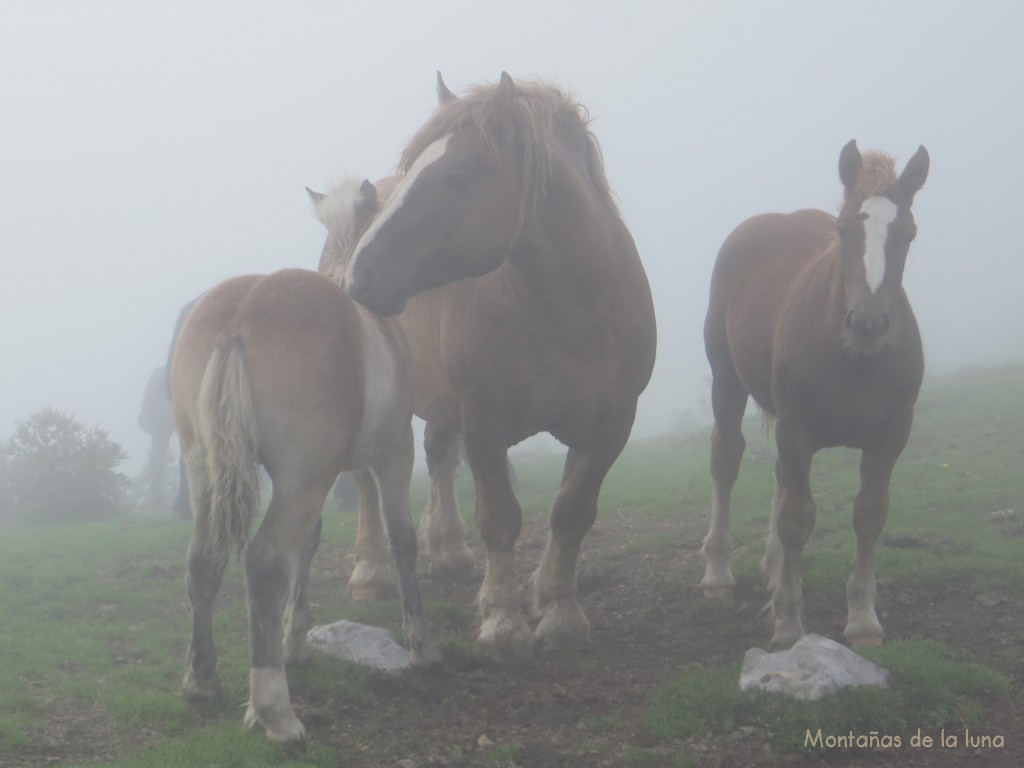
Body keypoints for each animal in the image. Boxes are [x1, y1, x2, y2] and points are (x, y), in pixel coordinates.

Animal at [168, 266, 440, 741]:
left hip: (208, 471)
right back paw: (276, 711)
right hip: (303, 483)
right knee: (264, 562)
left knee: (204, 560)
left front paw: (294, 642)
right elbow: (402, 539)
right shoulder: (394, 454)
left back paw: (201, 681)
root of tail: (238, 318)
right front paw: (420, 641)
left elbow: (307, 549)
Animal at [339, 72, 655, 663]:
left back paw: (448, 552)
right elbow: (500, 519)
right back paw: (371, 571)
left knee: (439, 459)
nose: (360, 276)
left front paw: (559, 611)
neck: (570, 311)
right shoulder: (485, 424)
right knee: (368, 483)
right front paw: (503, 621)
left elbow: (571, 515)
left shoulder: (610, 427)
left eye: (460, 177)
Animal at [704, 140, 929, 651]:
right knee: (726, 462)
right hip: (726, 382)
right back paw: (719, 573)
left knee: (778, 475)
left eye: (908, 234)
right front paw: (788, 623)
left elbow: (869, 514)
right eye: (843, 230)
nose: (866, 324)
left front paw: (863, 618)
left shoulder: (892, 435)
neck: (855, 361)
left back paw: (772, 569)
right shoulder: (797, 429)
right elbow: (796, 517)